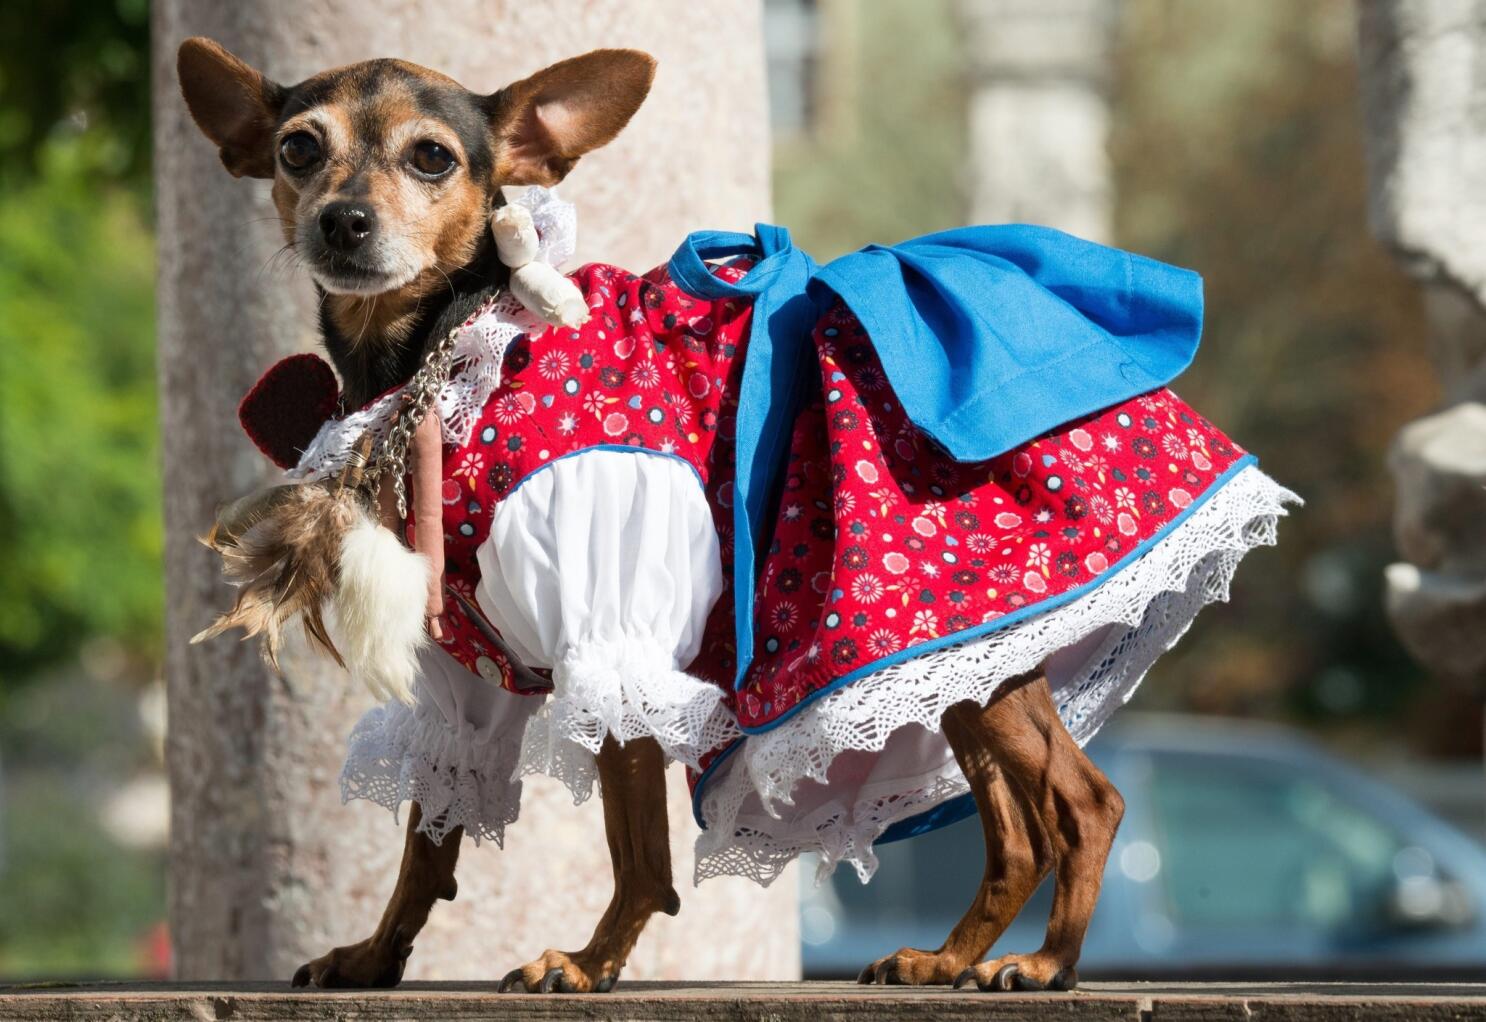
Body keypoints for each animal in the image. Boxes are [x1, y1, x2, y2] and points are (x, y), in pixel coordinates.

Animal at [179, 37, 1135, 992]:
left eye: (431, 158)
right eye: (299, 148)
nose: (343, 221)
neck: (445, 353)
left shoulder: (611, 627)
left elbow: (637, 847)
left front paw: (588, 963)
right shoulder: (461, 673)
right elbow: (427, 836)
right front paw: (375, 956)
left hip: (961, 645)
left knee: (1086, 803)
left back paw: (1046, 962)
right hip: (953, 666)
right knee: (1018, 832)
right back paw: (948, 958)